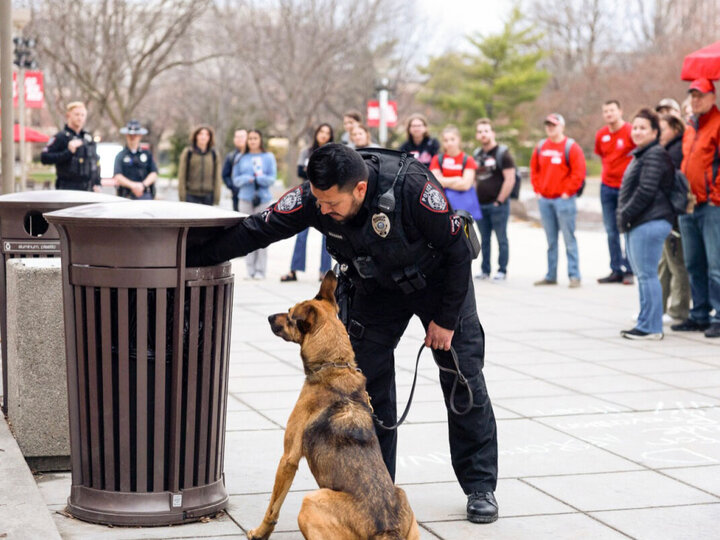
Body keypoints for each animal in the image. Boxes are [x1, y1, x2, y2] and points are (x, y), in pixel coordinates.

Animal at [250, 274, 422, 540]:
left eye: (290, 314)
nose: (269, 317)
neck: (335, 363)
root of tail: (385, 529)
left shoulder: (288, 458)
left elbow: (272, 507)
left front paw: (260, 533)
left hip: (310, 501)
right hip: (402, 497)